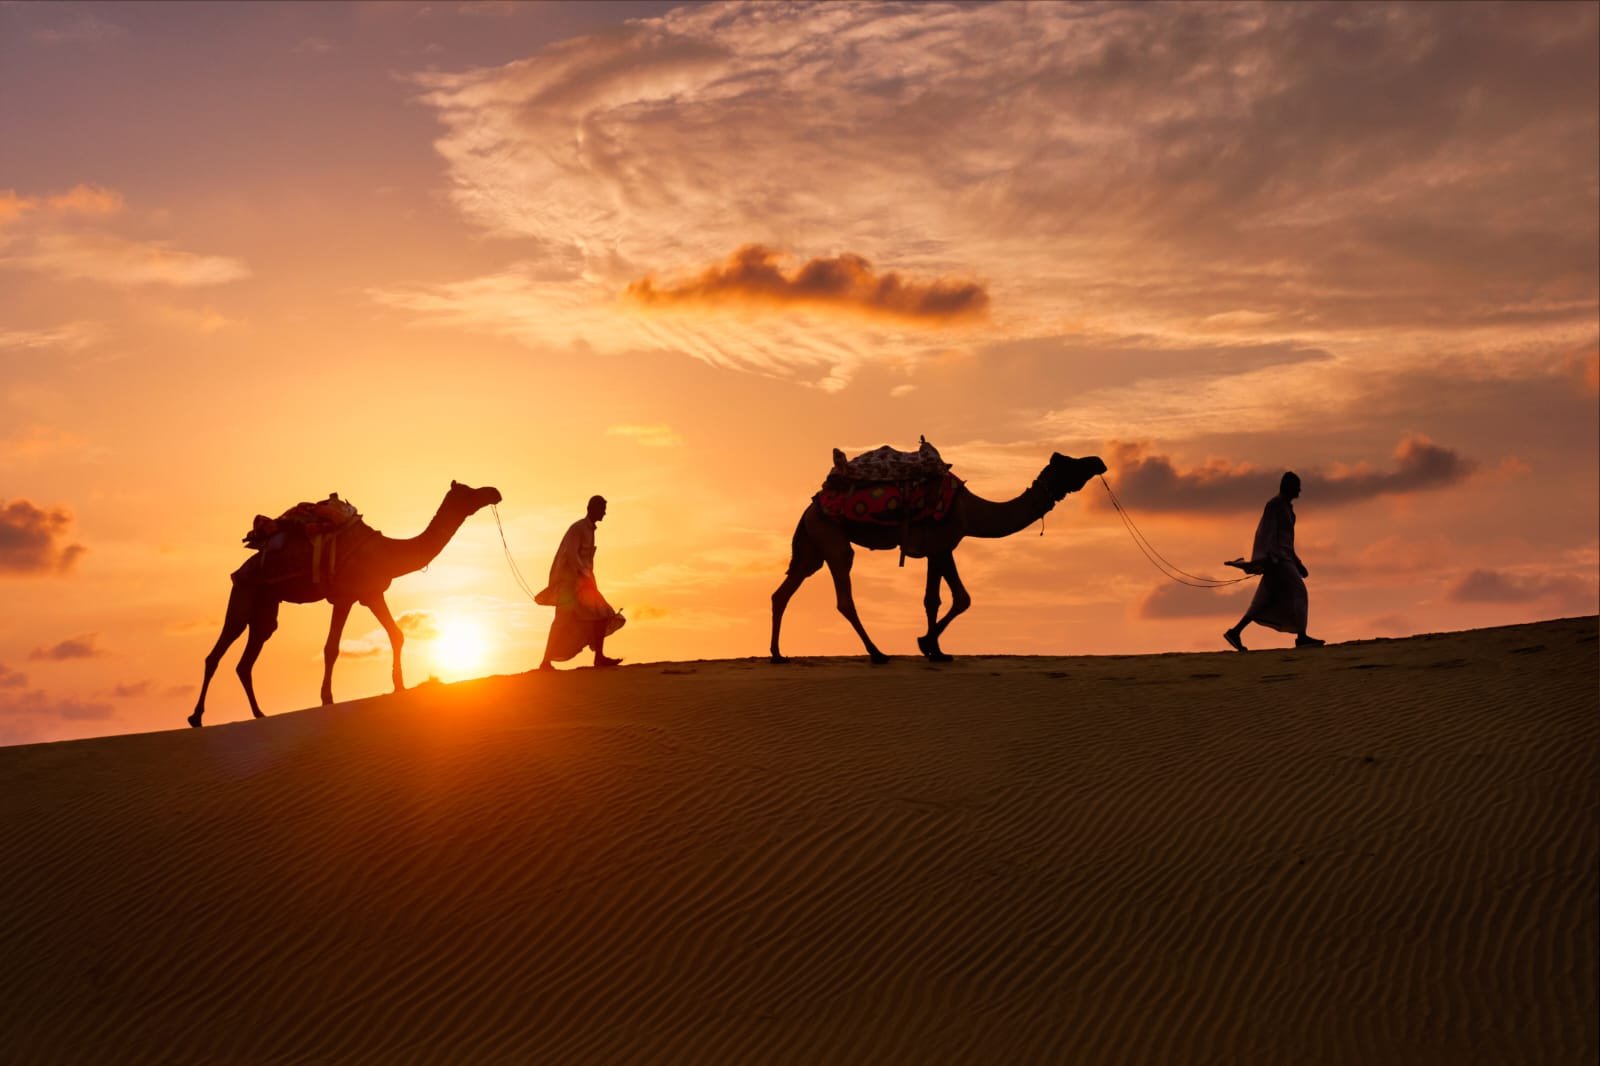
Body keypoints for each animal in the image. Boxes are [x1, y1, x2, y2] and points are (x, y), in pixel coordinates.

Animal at [194, 480, 505, 723]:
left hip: (266, 609)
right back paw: (196, 717)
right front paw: (327, 699)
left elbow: (397, 634)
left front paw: (399, 686)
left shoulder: (372, 594)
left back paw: (259, 714)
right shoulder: (344, 597)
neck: (387, 552)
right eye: (469, 491)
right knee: (216, 653)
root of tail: (240, 569)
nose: (494, 491)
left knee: (245, 661)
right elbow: (331, 648)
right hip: (243, 595)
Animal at [768, 451, 1107, 665]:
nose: (1099, 461)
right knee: (843, 597)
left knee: (782, 592)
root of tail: (811, 506)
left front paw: (936, 650)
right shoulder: (943, 543)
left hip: (812, 548)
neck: (972, 511)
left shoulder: (940, 547)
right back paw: (877, 654)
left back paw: (778, 655)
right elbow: (958, 598)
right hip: (833, 538)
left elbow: (937, 599)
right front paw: (927, 644)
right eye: (1072, 464)